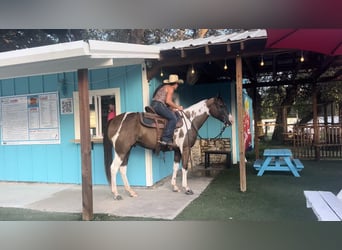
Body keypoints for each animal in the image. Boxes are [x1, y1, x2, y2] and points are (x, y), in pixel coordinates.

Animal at [104, 96, 232, 200]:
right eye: (221, 105)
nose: (230, 121)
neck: (190, 120)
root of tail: (114, 120)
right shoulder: (185, 148)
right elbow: (184, 167)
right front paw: (187, 189)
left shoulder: (177, 151)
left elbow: (175, 167)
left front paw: (175, 187)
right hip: (121, 151)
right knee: (113, 168)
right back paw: (116, 194)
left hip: (127, 150)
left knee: (122, 169)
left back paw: (131, 192)